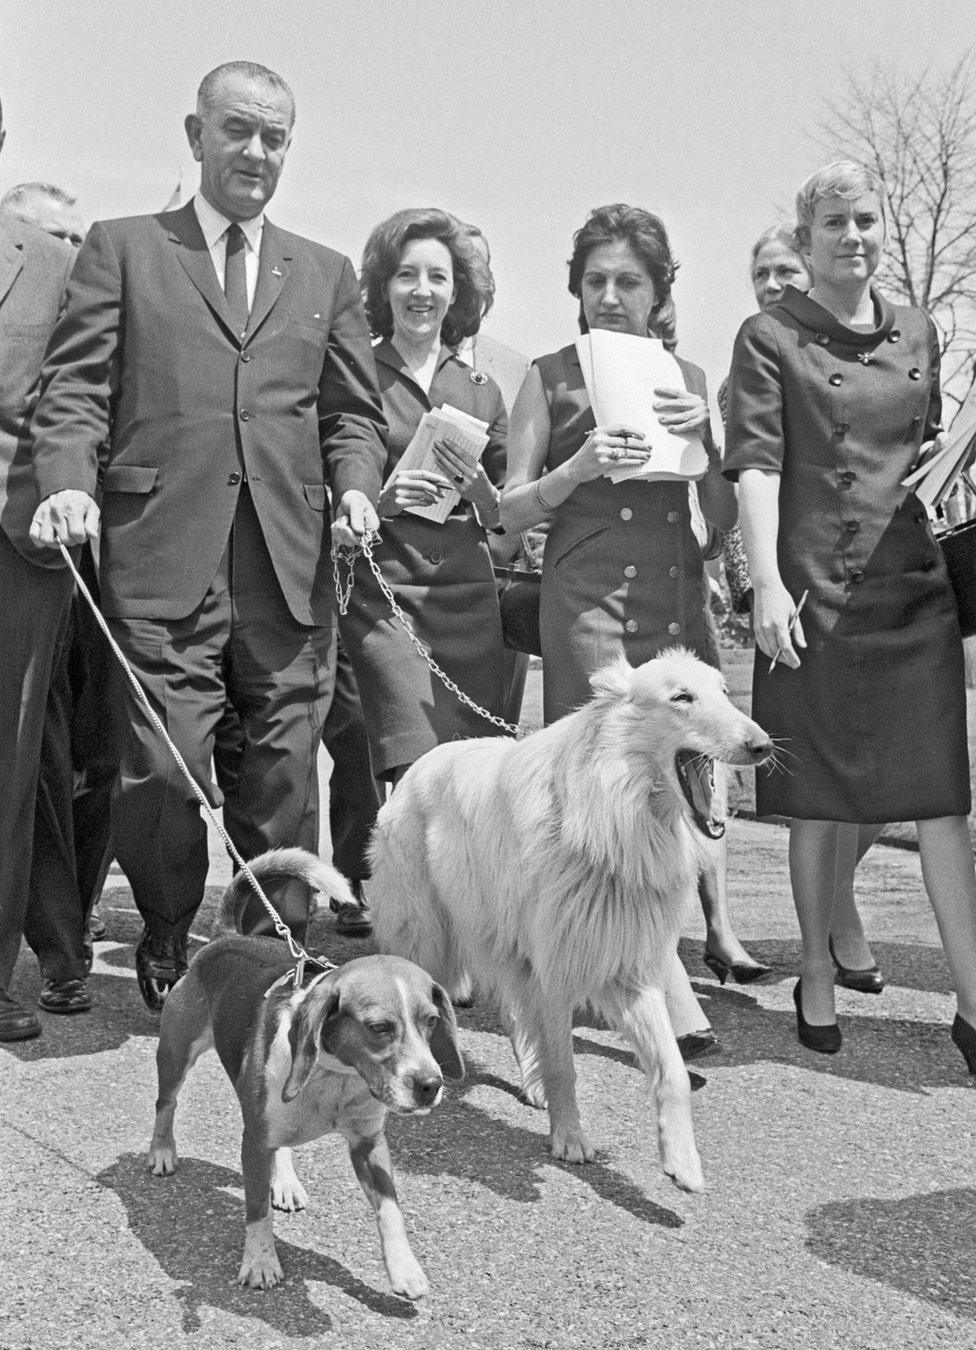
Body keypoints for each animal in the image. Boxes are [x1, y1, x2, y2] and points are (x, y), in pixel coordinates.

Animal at [147, 847, 464, 1301]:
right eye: (379, 1027)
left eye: (432, 1021)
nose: (431, 1086)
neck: (335, 1077)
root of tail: (228, 938)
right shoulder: (253, 1143)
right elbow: (257, 1212)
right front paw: (261, 1262)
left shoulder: (369, 1145)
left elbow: (390, 1209)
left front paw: (404, 1268)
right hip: (176, 1053)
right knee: (166, 1102)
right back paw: (162, 1151)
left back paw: (285, 1181)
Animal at [369, 653, 777, 1193]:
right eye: (681, 697)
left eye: (725, 692)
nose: (763, 747)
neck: (614, 818)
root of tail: (421, 763)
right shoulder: (556, 972)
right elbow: (566, 1065)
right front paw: (569, 1138)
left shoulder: (627, 970)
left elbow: (671, 1068)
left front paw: (682, 1161)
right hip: (430, 939)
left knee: (516, 1017)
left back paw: (532, 1083)